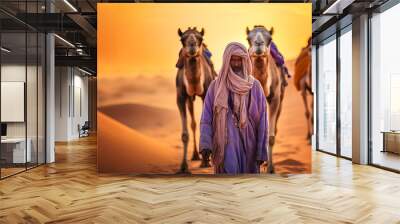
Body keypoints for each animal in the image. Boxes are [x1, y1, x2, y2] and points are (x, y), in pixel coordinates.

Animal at [176, 26, 217, 173]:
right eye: (182, 39)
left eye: (200, 38)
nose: (192, 45)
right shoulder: (180, 97)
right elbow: (184, 134)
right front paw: (183, 167)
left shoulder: (206, 94)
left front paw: (206, 161)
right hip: (189, 99)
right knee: (192, 123)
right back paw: (194, 155)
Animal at [245, 25, 286, 173]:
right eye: (248, 38)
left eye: (270, 38)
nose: (258, 43)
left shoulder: (275, 99)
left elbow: (271, 136)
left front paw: (271, 169)